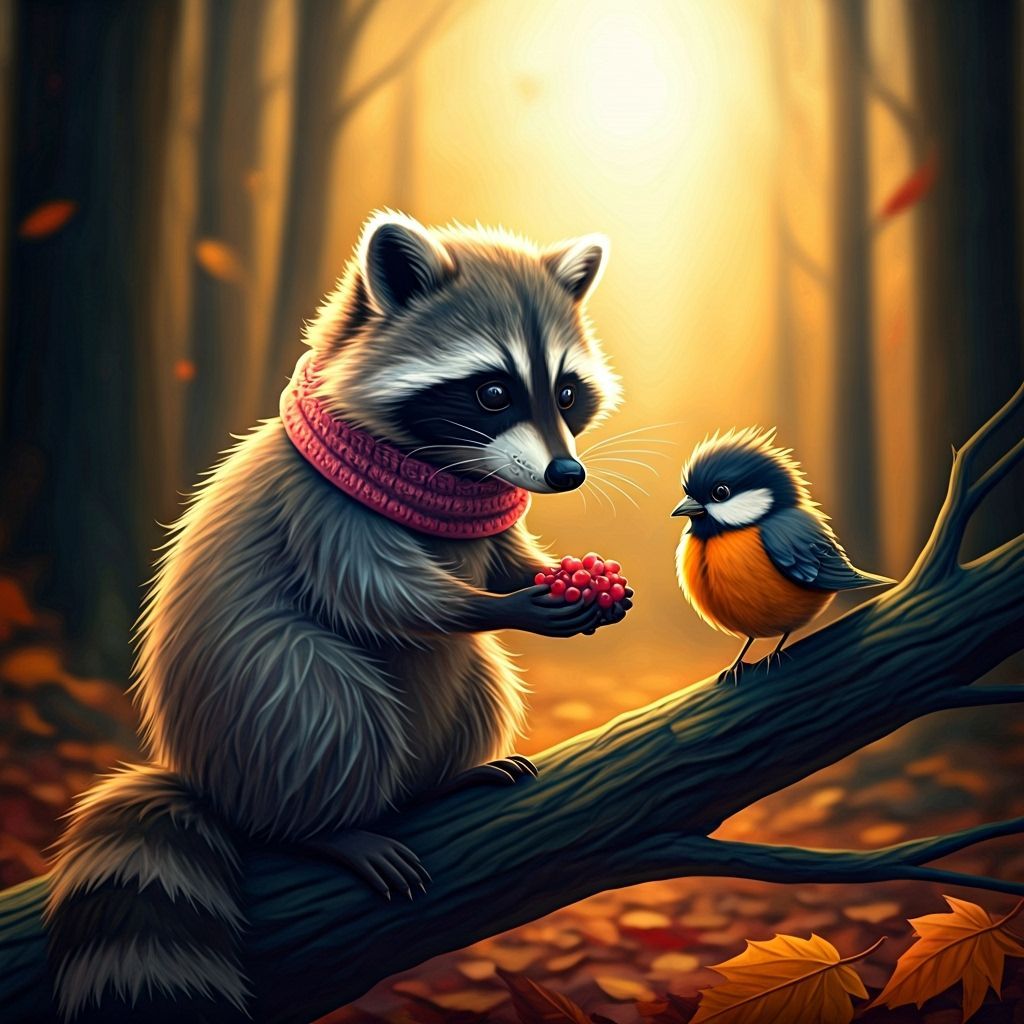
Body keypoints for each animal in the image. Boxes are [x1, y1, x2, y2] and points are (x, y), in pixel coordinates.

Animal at [44, 212, 627, 1021]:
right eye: (491, 393)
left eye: (567, 392)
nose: (566, 474)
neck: (443, 471)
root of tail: (206, 782)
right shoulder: (317, 505)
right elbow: (376, 592)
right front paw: (498, 603)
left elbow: (504, 555)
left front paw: (557, 580)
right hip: (260, 709)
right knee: (325, 694)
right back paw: (326, 832)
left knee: (481, 677)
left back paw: (440, 783)